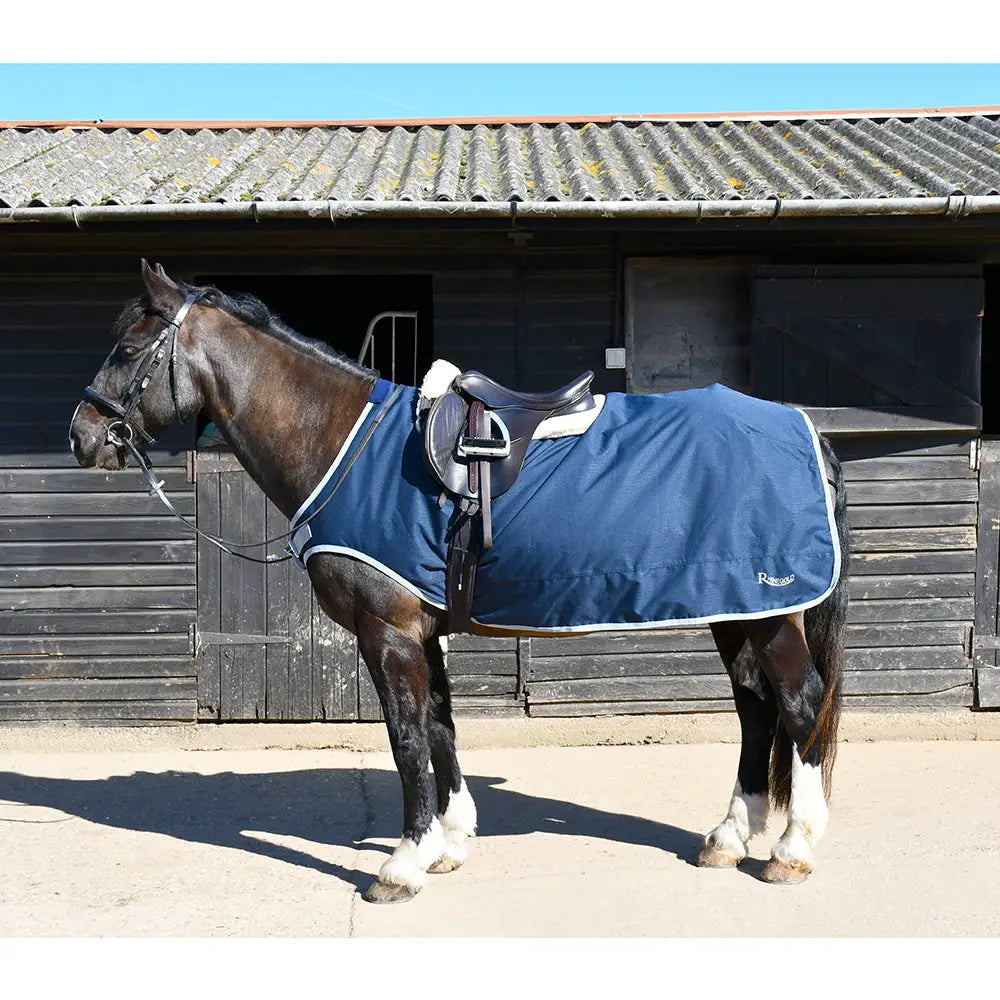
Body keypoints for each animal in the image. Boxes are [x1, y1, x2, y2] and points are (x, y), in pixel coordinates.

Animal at [69, 260, 850, 903]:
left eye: (129, 349)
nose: (82, 435)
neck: (343, 444)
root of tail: (805, 430)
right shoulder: (423, 633)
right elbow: (441, 728)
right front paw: (448, 843)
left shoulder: (387, 634)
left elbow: (406, 738)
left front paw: (402, 865)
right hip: (738, 611)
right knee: (756, 708)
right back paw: (728, 836)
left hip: (770, 613)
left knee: (800, 704)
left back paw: (792, 849)